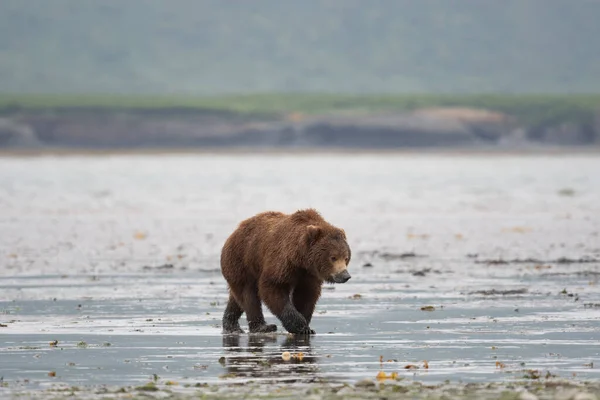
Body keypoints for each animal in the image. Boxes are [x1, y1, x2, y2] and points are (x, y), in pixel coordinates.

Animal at [220, 208, 352, 336]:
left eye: (346, 257)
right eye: (333, 257)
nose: (345, 275)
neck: (301, 259)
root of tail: (234, 232)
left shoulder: (309, 274)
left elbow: (306, 294)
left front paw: (306, 326)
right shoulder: (282, 262)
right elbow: (273, 287)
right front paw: (299, 325)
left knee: (237, 298)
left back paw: (231, 325)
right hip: (243, 261)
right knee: (248, 295)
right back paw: (262, 327)